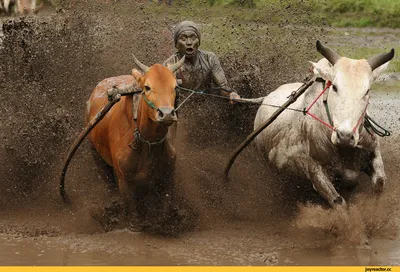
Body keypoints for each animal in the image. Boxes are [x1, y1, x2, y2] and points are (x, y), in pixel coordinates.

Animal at [255, 40, 396, 207]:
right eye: (334, 87)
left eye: (367, 91)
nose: (345, 136)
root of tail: (265, 99)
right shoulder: (316, 171)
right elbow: (338, 201)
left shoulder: (373, 151)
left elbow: (379, 183)